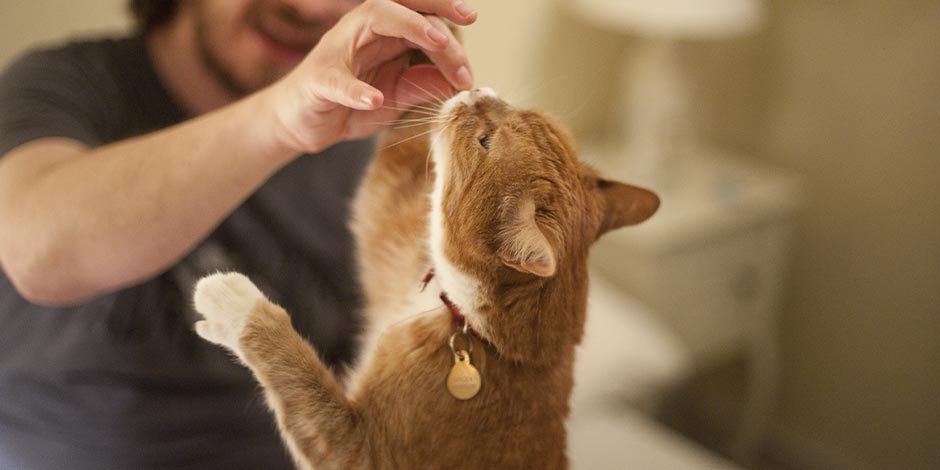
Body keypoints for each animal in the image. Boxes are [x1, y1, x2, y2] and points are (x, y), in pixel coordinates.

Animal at [194, 86, 656, 468]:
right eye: (523, 111)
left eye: (485, 141)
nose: (476, 92)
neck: (478, 332)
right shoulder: (394, 242)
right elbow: (390, 176)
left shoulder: (359, 450)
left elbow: (295, 371)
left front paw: (233, 304)